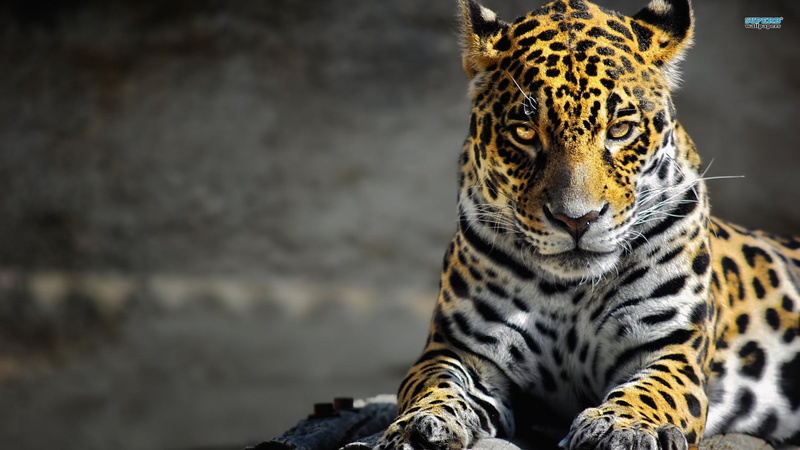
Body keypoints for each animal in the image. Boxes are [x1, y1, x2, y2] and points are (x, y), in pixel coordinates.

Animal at [373, 0, 800, 449]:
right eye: (525, 132)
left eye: (620, 129)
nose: (576, 220)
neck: (570, 293)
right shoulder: (459, 349)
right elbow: (433, 384)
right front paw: (418, 426)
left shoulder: (671, 347)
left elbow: (652, 391)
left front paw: (620, 426)